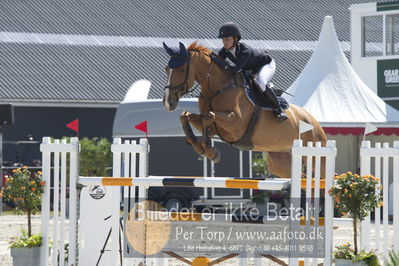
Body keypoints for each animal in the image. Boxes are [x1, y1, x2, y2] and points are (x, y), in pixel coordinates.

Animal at [162, 42, 328, 179]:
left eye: (182, 69)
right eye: (166, 69)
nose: (168, 103)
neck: (217, 89)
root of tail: (314, 121)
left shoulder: (235, 126)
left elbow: (209, 116)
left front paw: (210, 151)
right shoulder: (218, 128)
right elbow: (186, 116)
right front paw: (199, 146)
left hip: (317, 154)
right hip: (280, 163)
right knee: (302, 178)